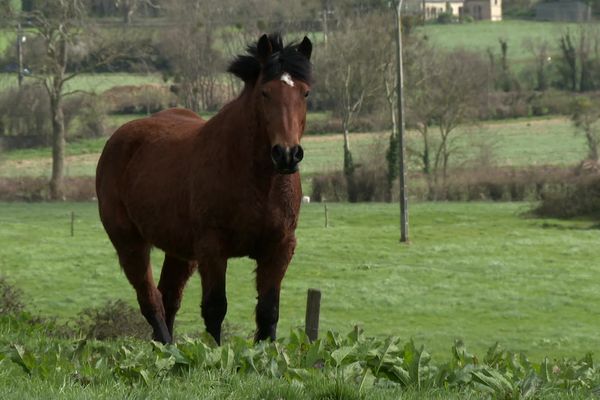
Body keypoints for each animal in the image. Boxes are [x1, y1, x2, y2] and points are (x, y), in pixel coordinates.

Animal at [96, 33, 312, 344]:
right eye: (265, 93)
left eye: (305, 93)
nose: (286, 154)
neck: (259, 182)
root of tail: (119, 137)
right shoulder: (212, 249)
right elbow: (215, 309)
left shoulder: (280, 247)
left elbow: (268, 312)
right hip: (130, 243)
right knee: (150, 300)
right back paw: (168, 347)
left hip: (180, 251)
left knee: (169, 296)